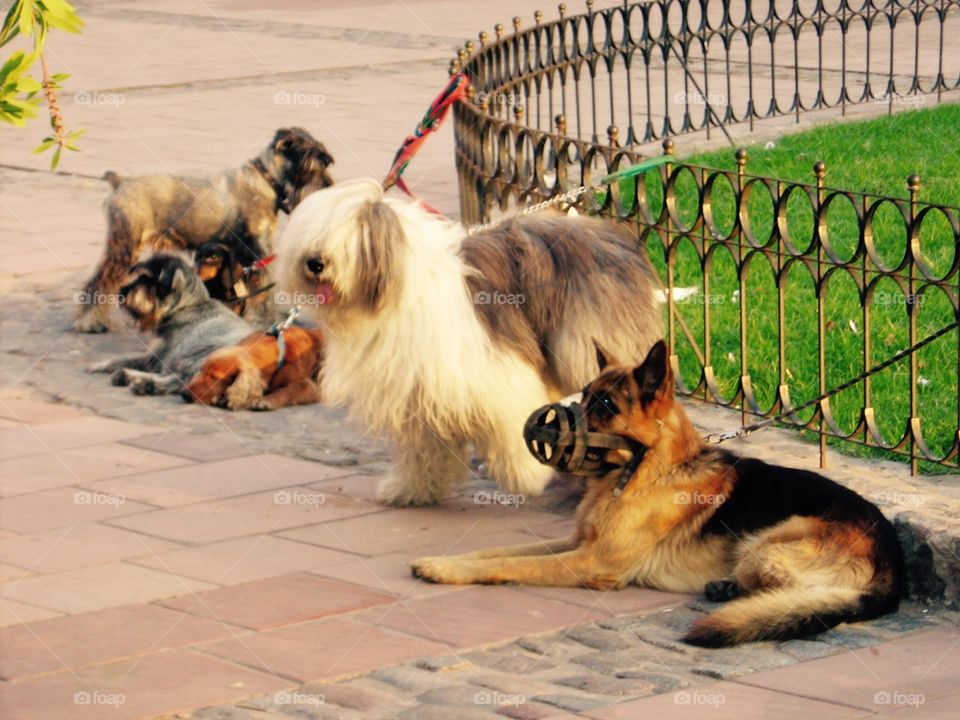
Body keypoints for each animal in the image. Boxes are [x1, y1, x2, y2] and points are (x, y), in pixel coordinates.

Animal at [74, 125, 334, 334]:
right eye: (314, 162)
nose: (328, 187)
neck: (265, 179)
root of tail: (119, 182)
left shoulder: (247, 257)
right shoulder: (255, 252)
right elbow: (261, 292)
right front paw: (263, 321)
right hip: (123, 247)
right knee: (98, 283)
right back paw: (89, 323)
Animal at [88, 253, 253, 396]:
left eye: (150, 281)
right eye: (140, 277)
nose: (122, 291)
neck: (186, 306)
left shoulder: (156, 358)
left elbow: (124, 359)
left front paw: (100, 365)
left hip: (194, 357)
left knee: (183, 381)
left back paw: (144, 383)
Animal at [182, 326, 324, 410]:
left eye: (214, 377)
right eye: (201, 370)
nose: (183, 393)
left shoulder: (310, 387)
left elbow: (289, 389)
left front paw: (266, 400)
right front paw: (221, 398)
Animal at [280, 179, 660, 506]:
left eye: (347, 240)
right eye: (312, 236)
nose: (314, 263)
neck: (394, 291)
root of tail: (614, 235)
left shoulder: (494, 369)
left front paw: (528, 476)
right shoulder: (417, 389)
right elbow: (423, 444)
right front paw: (415, 488)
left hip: (585, 344)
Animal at [414, 342, 908, 648]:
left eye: (605, 406)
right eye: (585, 395)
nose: (541, 425)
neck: (648, 471)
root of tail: (892, 565)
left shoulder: (591, 562)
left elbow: (511, 565)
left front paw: (451, 571)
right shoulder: (577, 543)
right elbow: (497, 551)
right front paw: (444, 561)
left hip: (771, 539)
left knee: (802, 593)